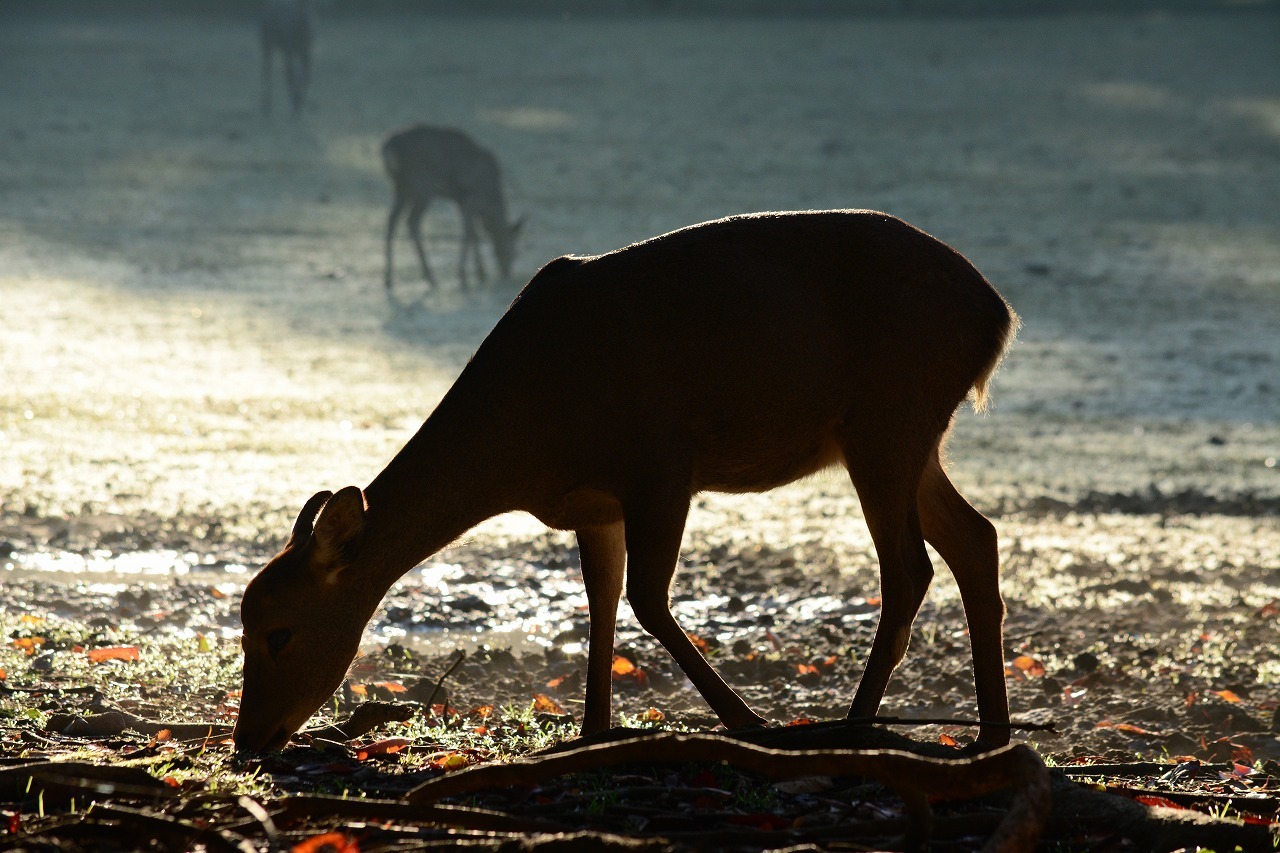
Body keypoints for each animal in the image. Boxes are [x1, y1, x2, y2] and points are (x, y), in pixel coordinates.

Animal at [235, 207, 1018, 753]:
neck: (524, 441)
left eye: (278, 631)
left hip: (888, 419)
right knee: (976, 538)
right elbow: (602, 600)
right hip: (913, 438)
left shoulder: (660, 464)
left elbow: (646, 597)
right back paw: (991, 732)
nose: (248, 739)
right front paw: (592, 730)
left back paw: (855, 724)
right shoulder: (594, 503)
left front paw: (751, 723)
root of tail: (998, 315)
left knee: (909, 567)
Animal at [378, 124, 524, 294]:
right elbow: (471, 233)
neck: (491, 197)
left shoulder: (460, 201)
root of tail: (389, 147)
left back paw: (388, 278)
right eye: (513, 252)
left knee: (391, 220)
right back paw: (429, 275)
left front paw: (476, 271)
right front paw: (473, 272)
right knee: (412, 221)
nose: (507, 272)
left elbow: (471, 233)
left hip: (401, 187)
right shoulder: (472, 198)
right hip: (421, 186)